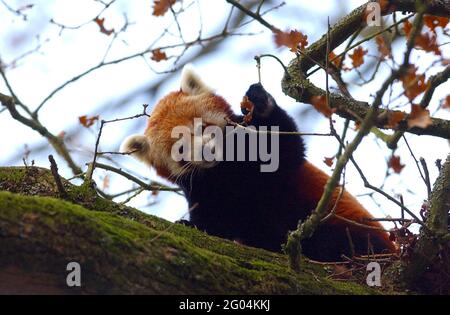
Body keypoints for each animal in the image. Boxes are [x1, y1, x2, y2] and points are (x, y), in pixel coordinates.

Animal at [121, 66, 396, 262]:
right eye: (180, 150)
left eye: (201, 127)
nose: (206, 150)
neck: (228, 170)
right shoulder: (204, 189)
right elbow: (216, 222)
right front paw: (191, 224)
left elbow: (287, 146)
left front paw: (261, 103)